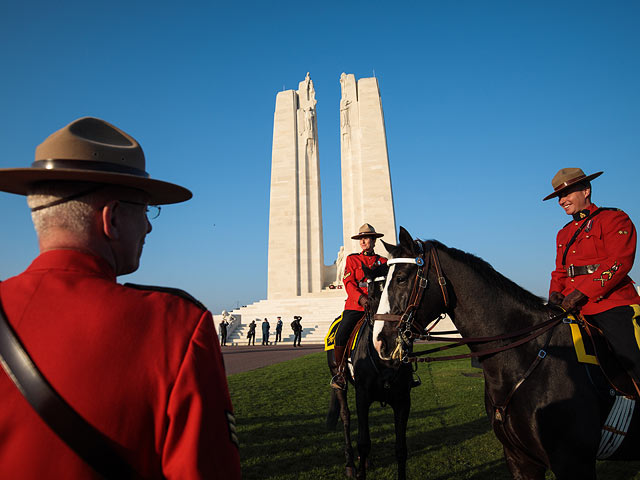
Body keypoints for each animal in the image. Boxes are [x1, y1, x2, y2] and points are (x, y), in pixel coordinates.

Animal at [324, 262, 416, 480]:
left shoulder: (403, 400)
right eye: (372, 293)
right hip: (340, 381)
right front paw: (358, 469)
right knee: (346, 417)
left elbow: (401, 448)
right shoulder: (362, 395)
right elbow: (363, 442)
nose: (386, 340)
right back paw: (350, 463)